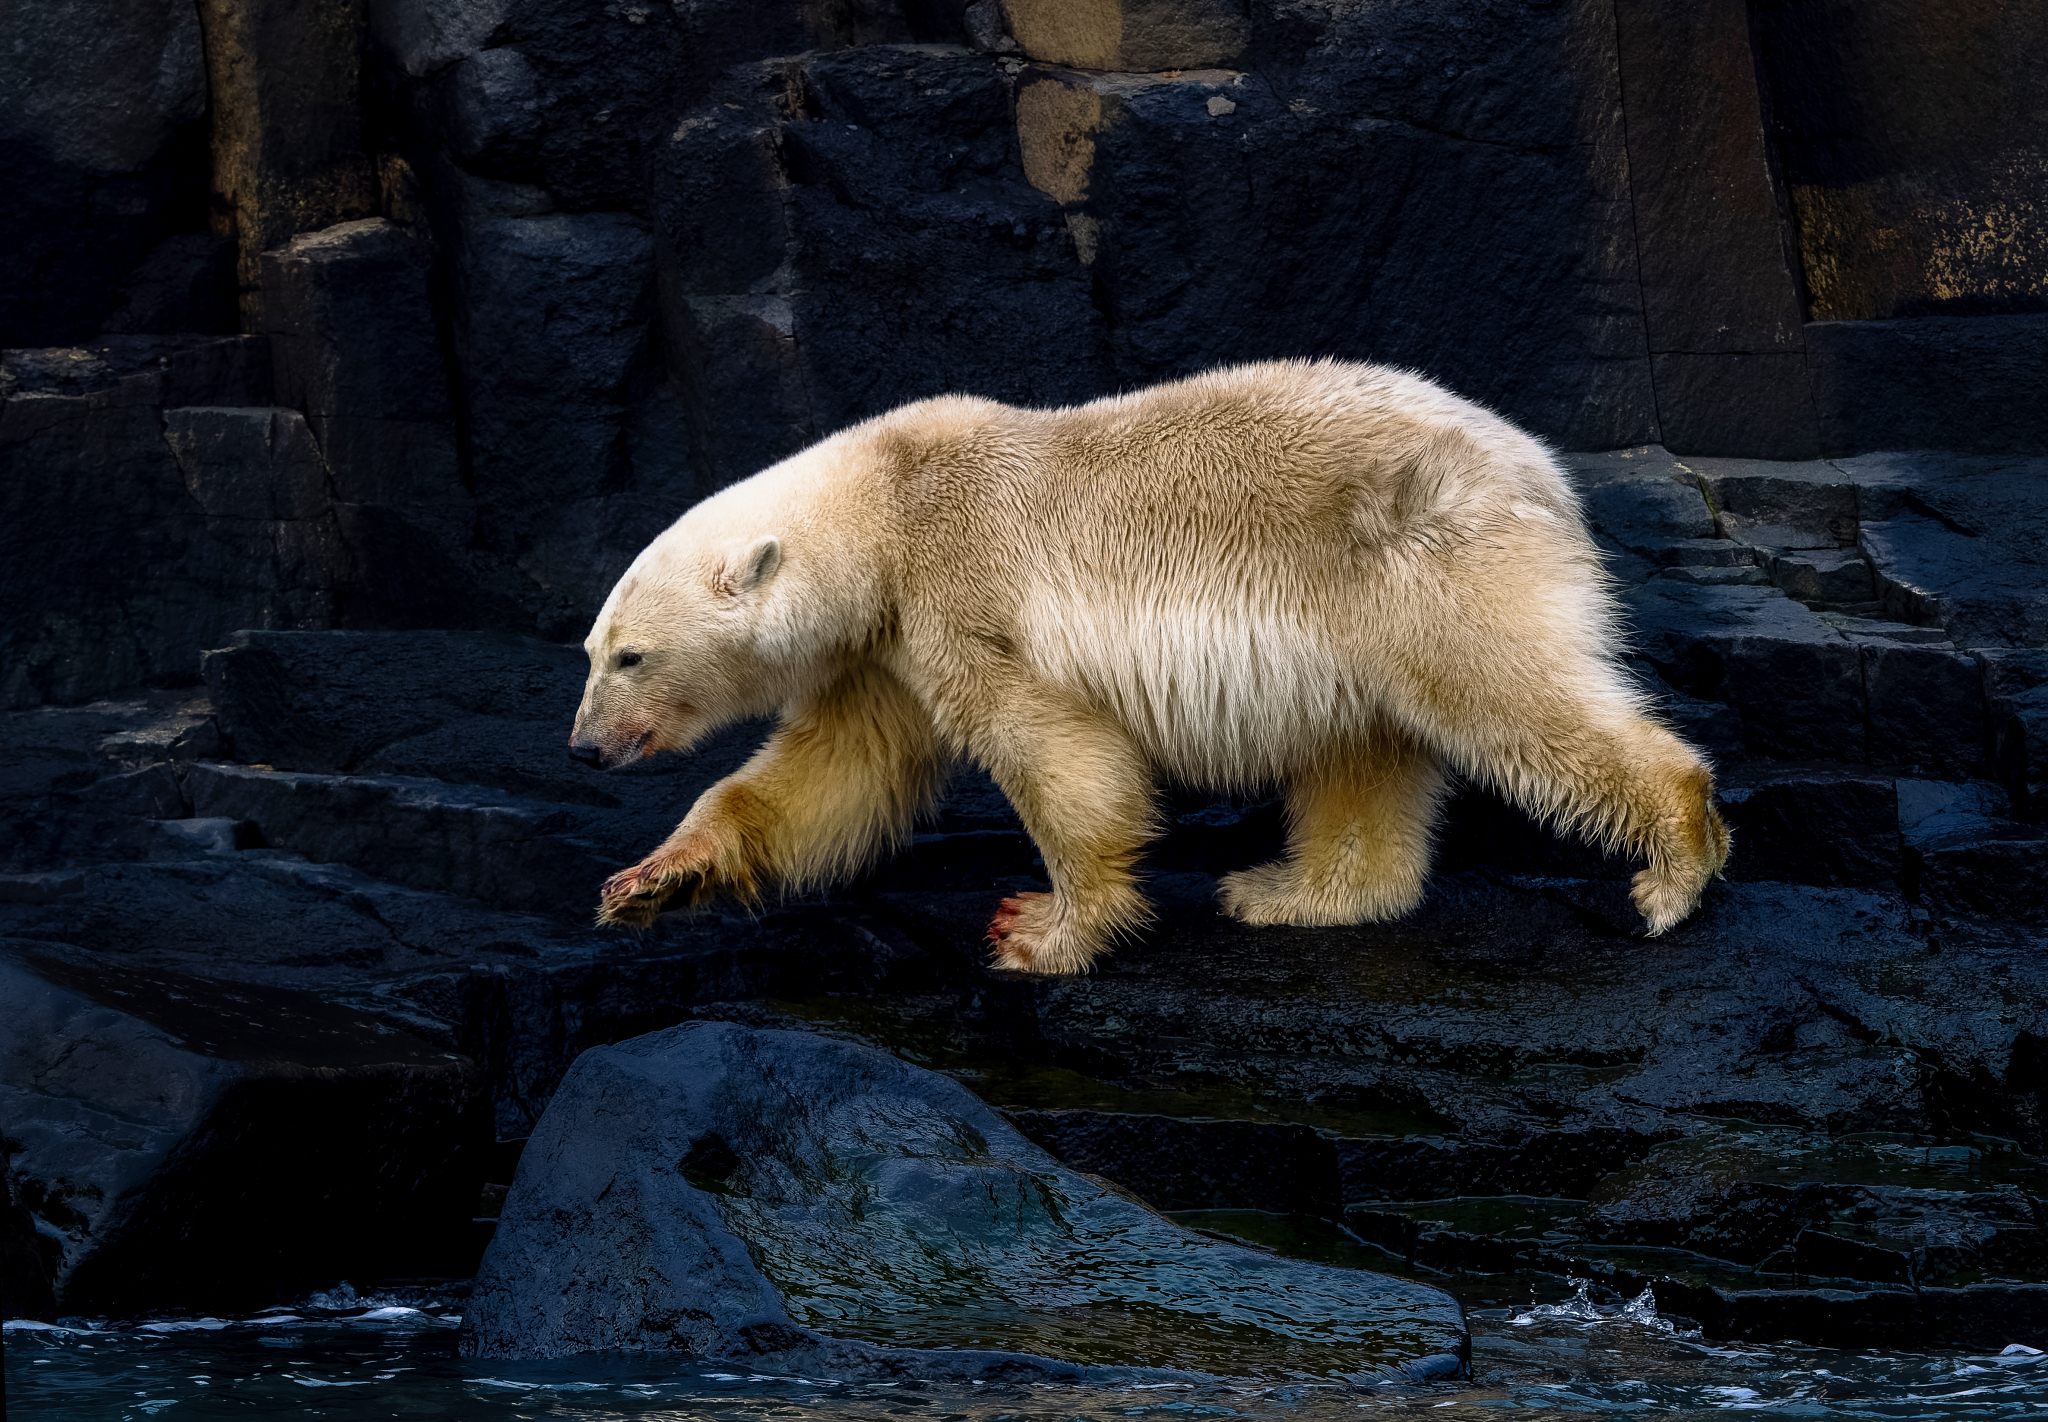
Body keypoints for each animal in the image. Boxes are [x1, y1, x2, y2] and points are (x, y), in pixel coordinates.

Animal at [573, 362, 1728, 975]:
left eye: (631, 653)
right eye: (591, 650)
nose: (584, 747)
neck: (883, 503)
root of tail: (1542, 473)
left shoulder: (958, 592)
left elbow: (1054, 754)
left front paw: (1042, 929)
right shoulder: (885, 649)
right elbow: (830, 774)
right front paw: (647, 881)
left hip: (1425, 564)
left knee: (1509, 698)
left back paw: (1672, 862)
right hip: (1361, 619)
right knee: (1362, 750)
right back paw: (1288, 890)